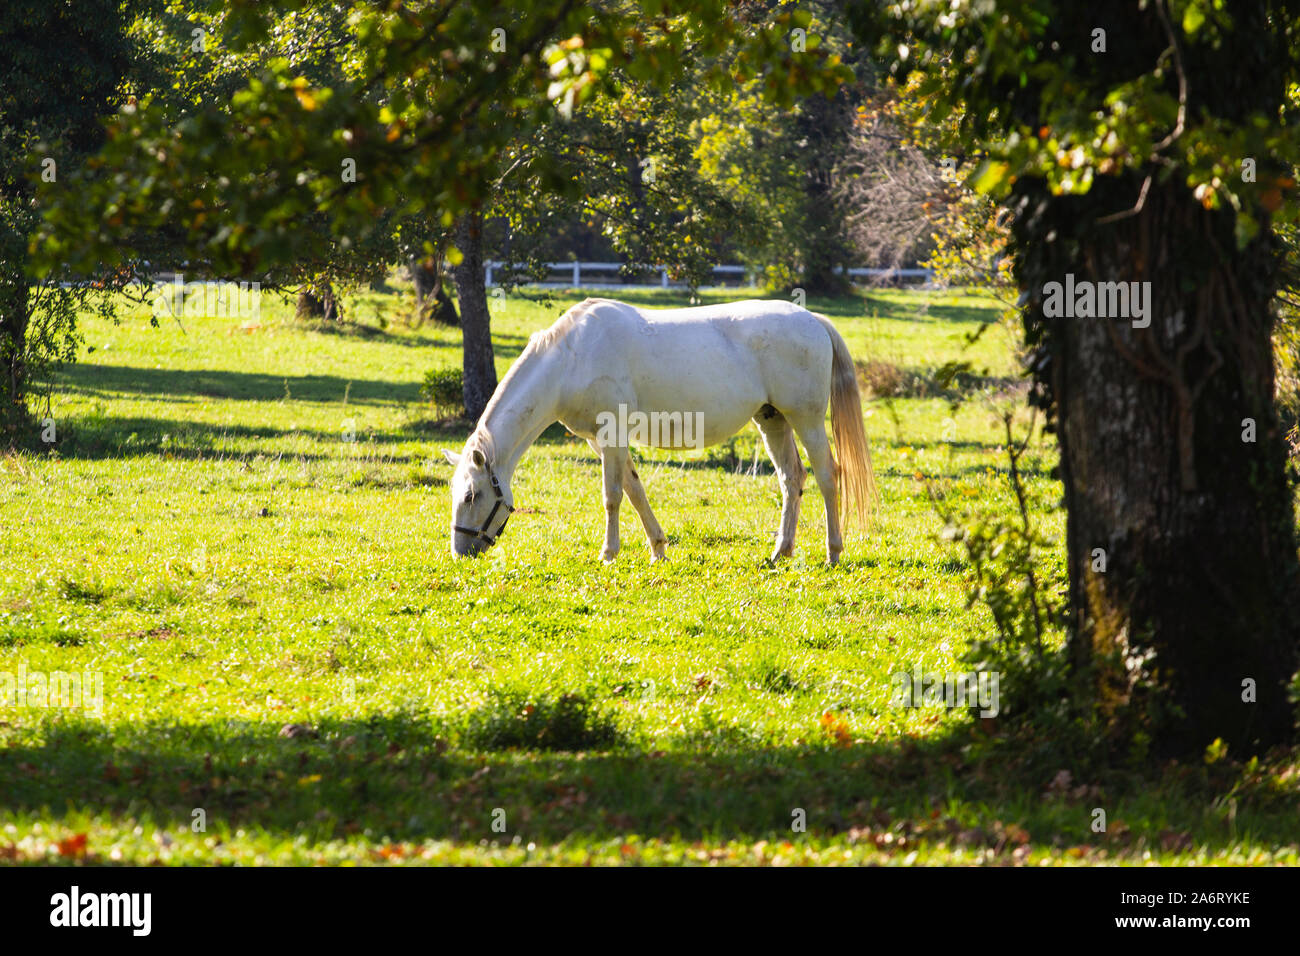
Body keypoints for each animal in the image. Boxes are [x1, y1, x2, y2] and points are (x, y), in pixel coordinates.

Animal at [442, 297, 878, 564]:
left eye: (471, 495)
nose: (460, 552)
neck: (572, 358)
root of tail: (812, 320)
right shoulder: (602, 442)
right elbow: (635, 491)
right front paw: (658, 549)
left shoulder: (612, 434)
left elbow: (612, 497)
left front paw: (609, 553)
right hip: (772, 419)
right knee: (792, 478)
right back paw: (780, 552)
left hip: (806, 419)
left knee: (826, 476)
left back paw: (833, 552)